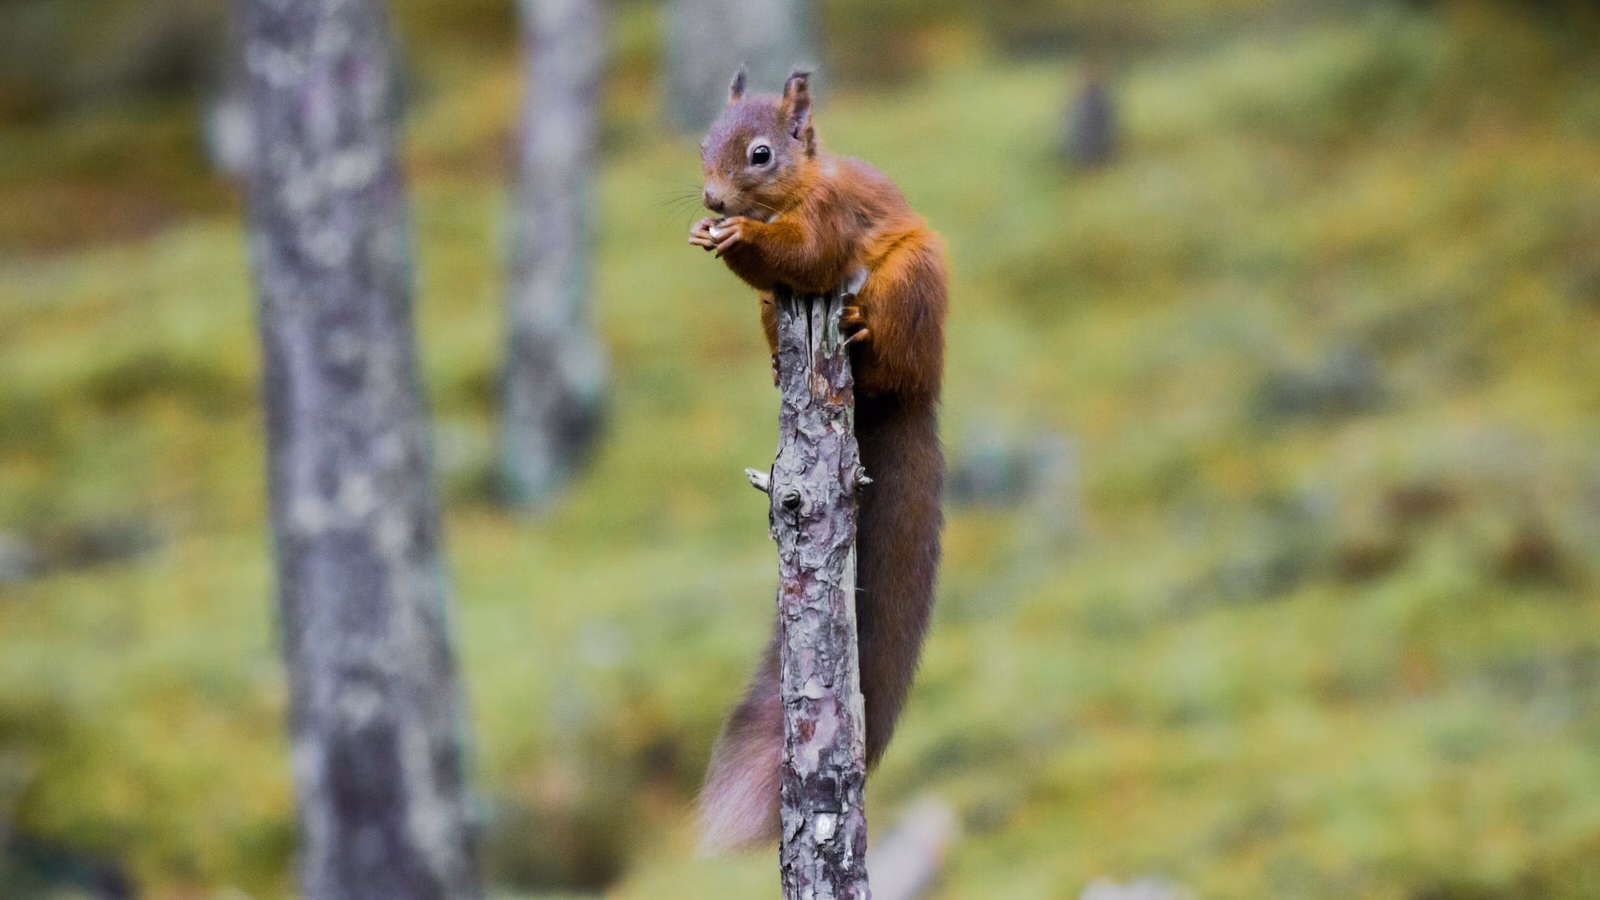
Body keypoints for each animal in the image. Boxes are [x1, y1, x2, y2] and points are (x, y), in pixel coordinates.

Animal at [687, 67, 947, 852]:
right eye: (704, 146)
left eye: (761, 154)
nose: (711, 201)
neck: (796, 191)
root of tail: (914, 396)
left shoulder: (831, 220)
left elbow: (806, 258)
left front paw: (740, 236)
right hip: (774, 314)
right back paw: (781, 360)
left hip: (914, 282)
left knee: (887, 344)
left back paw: (862, 331)